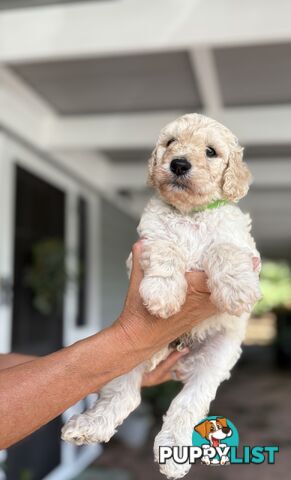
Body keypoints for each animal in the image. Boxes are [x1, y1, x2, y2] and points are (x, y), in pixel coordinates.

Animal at [61, 113, 262, 480]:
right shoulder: (146, 241)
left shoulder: (244, 248)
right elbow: (167, 248)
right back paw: (88, 426)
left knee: (188, 404)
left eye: (210, 152)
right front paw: (164, 294)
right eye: (170, 143)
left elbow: (225, 248)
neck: (190, 213)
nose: (179, 163)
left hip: (216, 358)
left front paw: (237, 291)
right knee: (124, 396)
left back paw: (173, 453)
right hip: (127, 356)